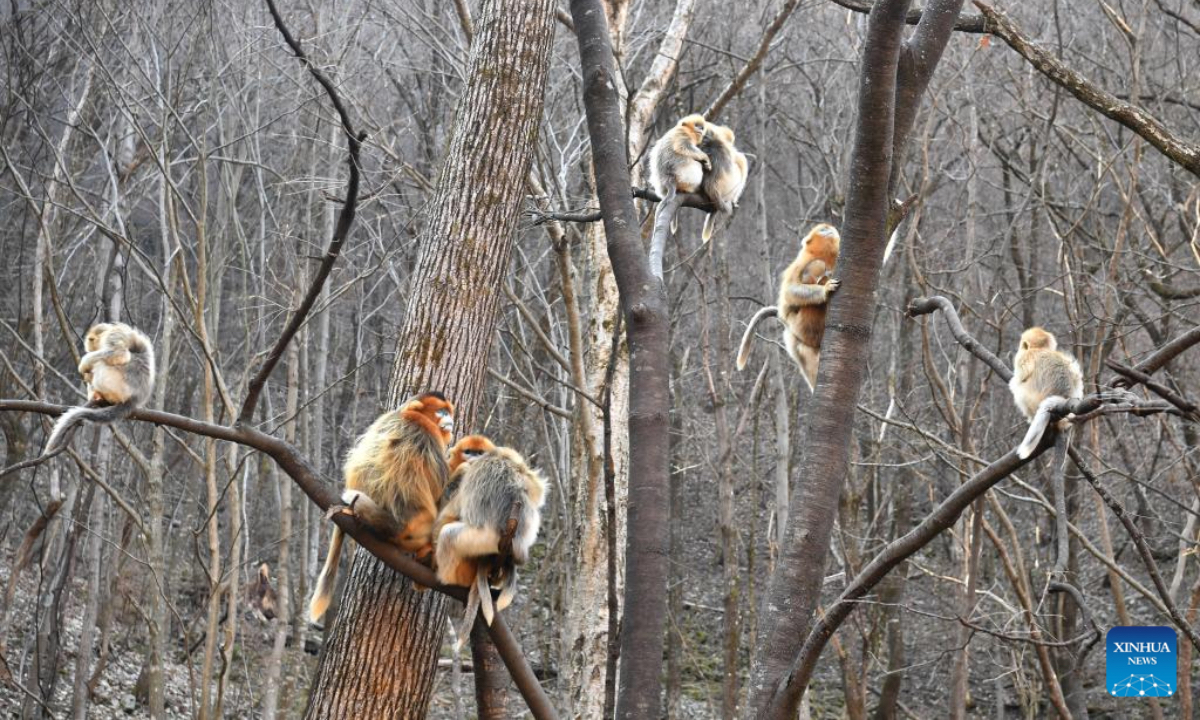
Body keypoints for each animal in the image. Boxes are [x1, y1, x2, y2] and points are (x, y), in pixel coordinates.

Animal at [307, 391, 455, 622]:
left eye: (449, 412)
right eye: (441, 411)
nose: (451, 420)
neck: (410, 416)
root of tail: (394, 524)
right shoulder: (427, 437)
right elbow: (443, 491)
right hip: (416, 532)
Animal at [433, 436, 547, 647]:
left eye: (479, 452)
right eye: (468, 451)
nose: (474, 458)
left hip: (480, 539)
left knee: (447, 533)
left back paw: (446, 577)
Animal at [735, 224, 841, 392]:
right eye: (821, 229)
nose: (827, 226)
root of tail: (787, 324)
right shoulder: (802, 262)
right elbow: (790, 291)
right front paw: (825, 289)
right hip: (800, 327)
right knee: (817, 266)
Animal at [1009, 326, 1083, 575]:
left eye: (1023, 345)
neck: (1041, 350)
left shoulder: (1023, 360)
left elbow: (1019, 375)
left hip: (1029, 398)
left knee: (1017, 387)